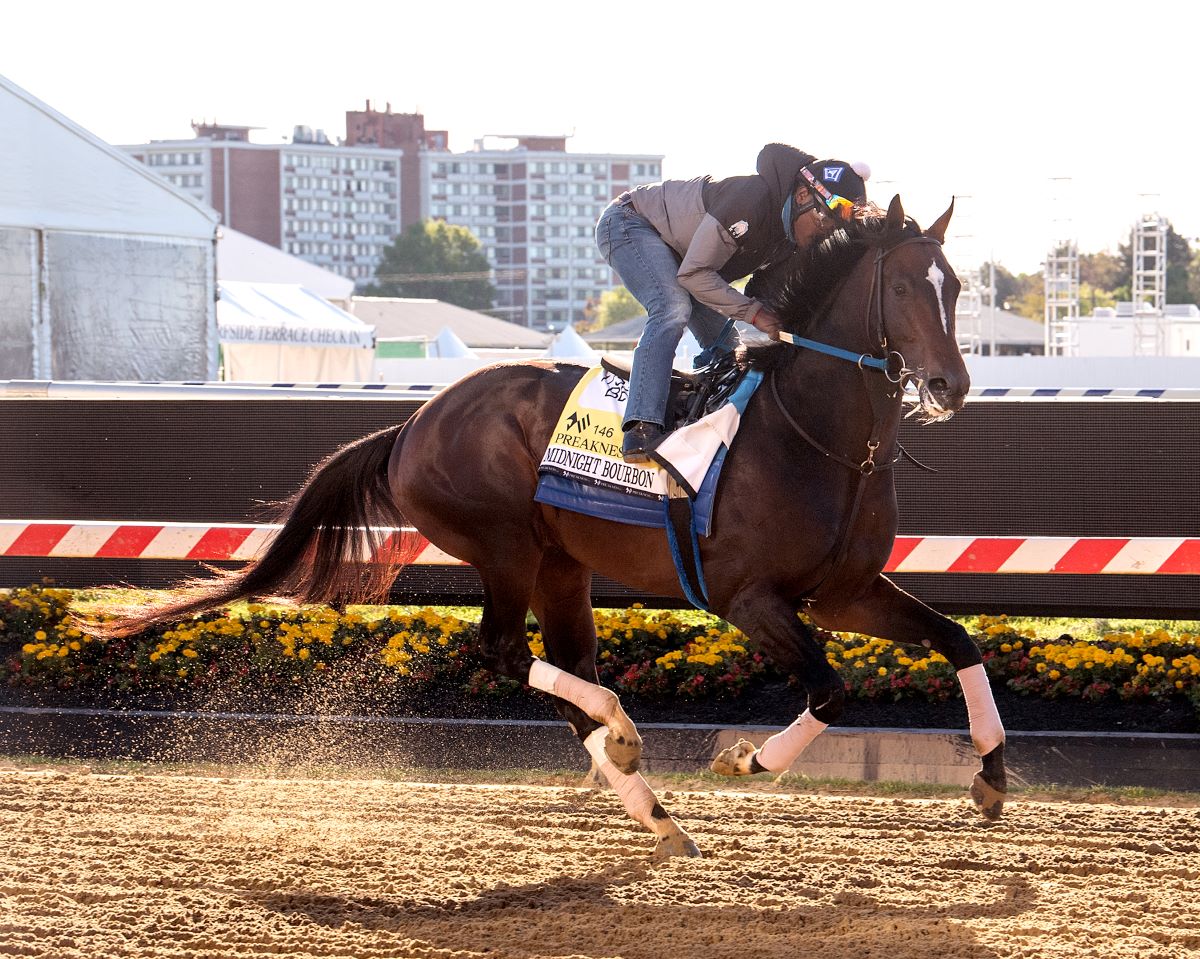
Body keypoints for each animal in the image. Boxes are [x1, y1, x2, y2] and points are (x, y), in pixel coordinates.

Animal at [91, 196, 1003, 864]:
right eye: (905, 287)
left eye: (956, 286)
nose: (949, 384)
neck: (816, 437)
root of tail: (414, 421)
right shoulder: (750, 599)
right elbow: (830, 688)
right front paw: (748, 758)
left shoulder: (844, 590)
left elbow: (957, 638)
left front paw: (992, 770)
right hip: (504, 547)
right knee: (506, 653)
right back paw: (628, 741)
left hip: (563, 564)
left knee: (567, 674)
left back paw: (648, 799)